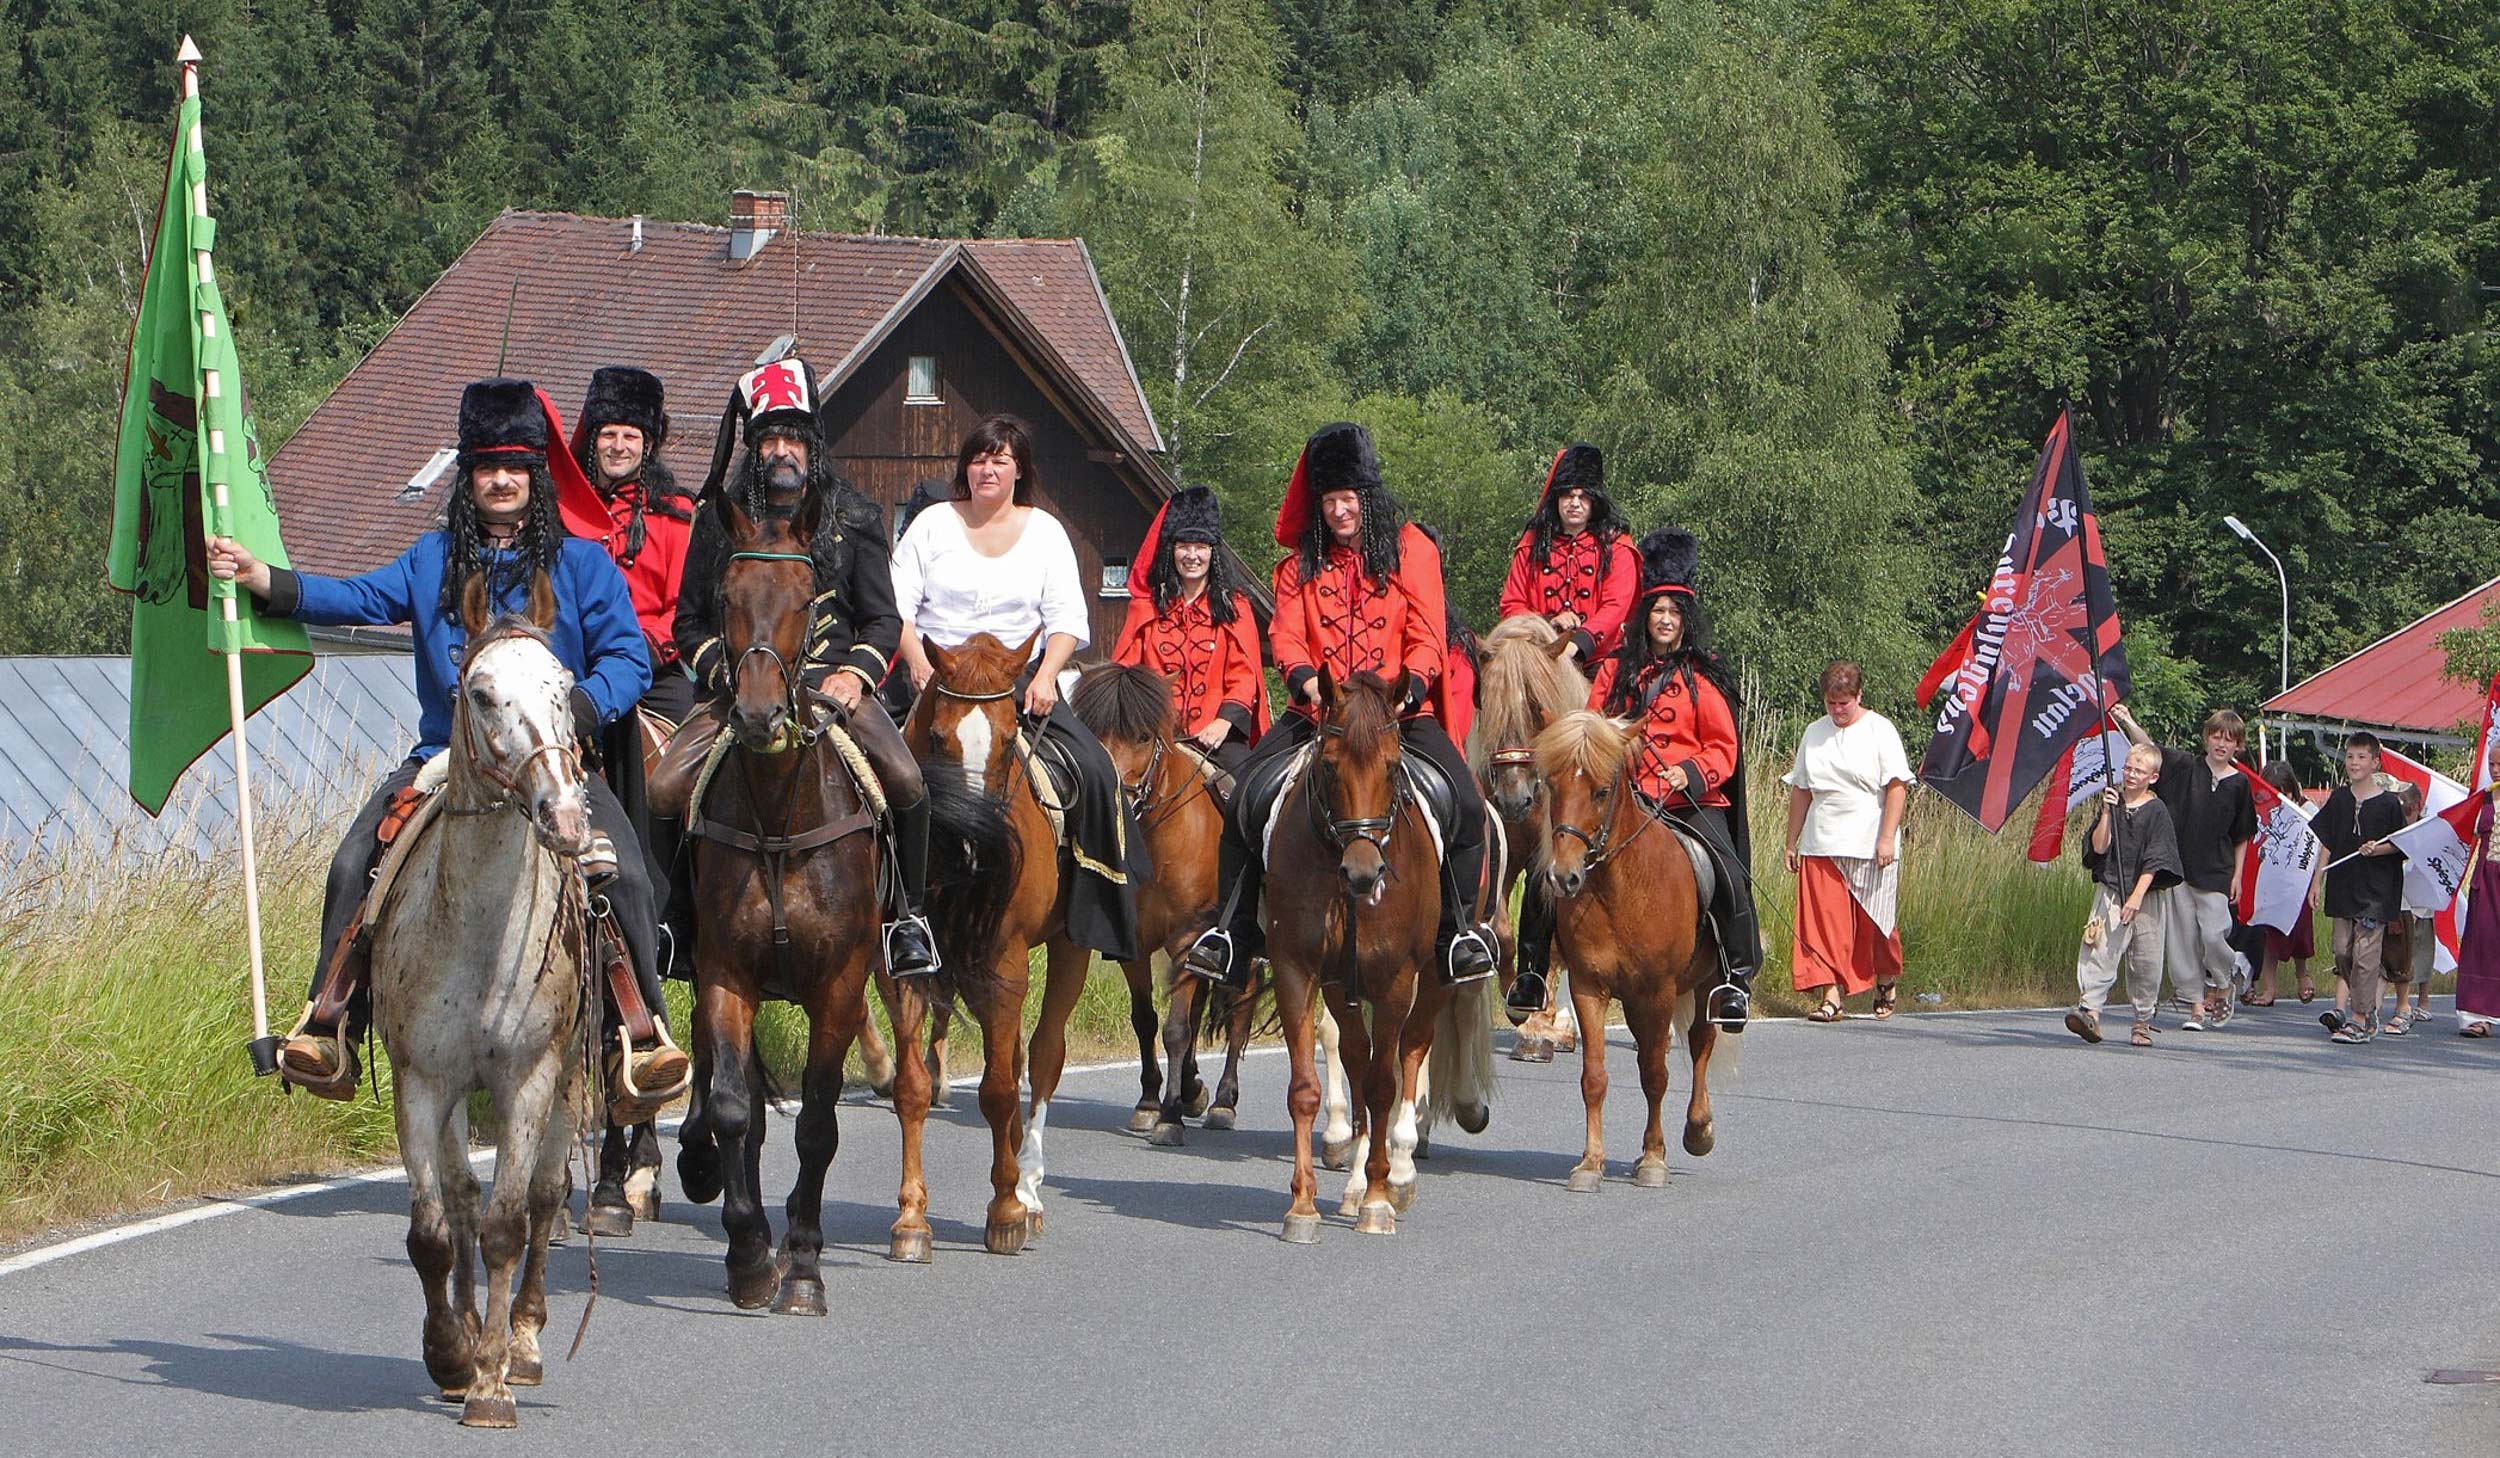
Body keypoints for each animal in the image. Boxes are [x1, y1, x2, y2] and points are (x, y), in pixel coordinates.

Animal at [372, 575, 592, 1430]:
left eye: (566, 689)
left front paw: (493, 1382)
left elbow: (507, 1224)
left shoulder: (526, 1080)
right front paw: (450, 1353)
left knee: (545, 1198)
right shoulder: (422, 1082)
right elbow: (436, 1230)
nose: (564, 816)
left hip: (570, 1080)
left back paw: (523, 1343)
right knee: (463, 1197)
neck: (479, 935)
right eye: (481, 692)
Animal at [1075, 665, 1270, 1150]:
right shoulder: (1134, 942)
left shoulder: (1187, 939)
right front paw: (1151, 1102)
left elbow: (1177, 1029)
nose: (1115, 798)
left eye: (1143, 736)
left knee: (1240, 1010)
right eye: (1092, 731)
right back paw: (1193, 1089)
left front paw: (1169, 1118)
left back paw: (1222, 1101)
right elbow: (1146, 1020)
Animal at [1270, 675, 1480, 1245]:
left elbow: (1385, 1085)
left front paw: (1381, 1199)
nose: (1364, 874)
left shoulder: (1395, 982)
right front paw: (1303, 1206)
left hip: (1430, 981)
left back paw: (1399, 1170)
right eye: (1329, 766)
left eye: (1391, 767)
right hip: (1343, 989)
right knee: (1357, 1058)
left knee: (1409, 1051)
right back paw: (1357, 1179)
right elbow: (1307, 1088)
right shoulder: (1298, 971)